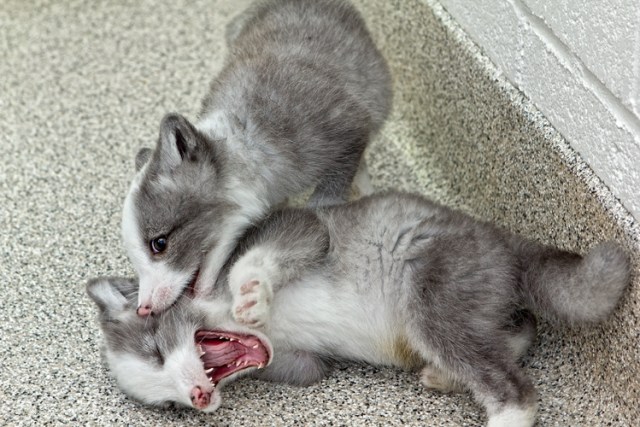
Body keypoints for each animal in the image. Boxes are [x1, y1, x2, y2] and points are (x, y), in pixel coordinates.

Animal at [88, 192, 631, 426]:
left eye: (157, 349)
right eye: (168, 405)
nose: (199, 397)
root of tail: (507, 244)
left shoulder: (299, 229)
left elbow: (255, 260)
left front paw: (252, 293)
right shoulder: (307, 364)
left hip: (433, 300)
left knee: (516, 388)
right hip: (466, 311)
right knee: (515, 335)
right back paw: (444, 375)